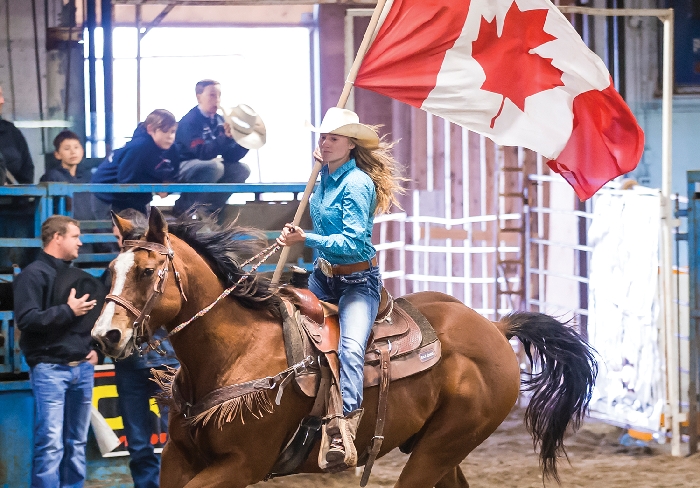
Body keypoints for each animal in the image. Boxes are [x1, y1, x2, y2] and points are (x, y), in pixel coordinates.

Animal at [91, 210, 596, 488]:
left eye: (145, 272)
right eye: (110, 271)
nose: (104, 336)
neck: (234, 351)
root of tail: (492, 327)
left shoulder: (240, 465)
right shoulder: (179, 458)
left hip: (442, 447)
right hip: (438, 450)